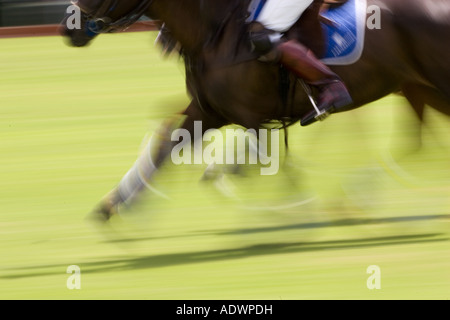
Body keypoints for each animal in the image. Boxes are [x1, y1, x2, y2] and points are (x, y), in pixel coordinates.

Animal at [60, 0, 450, 220]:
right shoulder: (209, 110)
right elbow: (166, 147)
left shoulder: (252, 115)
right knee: (417, 142)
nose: (67, 29)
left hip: (434, 85)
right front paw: (115, 205)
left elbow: (261, 160)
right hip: (418, 88)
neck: (212, 31)